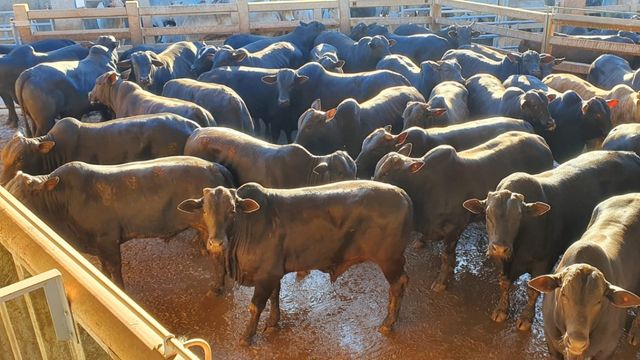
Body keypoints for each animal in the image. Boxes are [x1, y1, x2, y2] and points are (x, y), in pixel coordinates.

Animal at [178, 181, 412, 344]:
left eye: (232, 210)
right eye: (205, 210)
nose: (216, 243)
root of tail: (402, 193)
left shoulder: (266, 276)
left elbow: (255, 306)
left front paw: (247, 336)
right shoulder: (273, 273)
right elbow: (274, 297)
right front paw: (273, 323)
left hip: (389, 259)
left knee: (399, 284)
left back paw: (388, 323)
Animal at [376, 132, 556, 292]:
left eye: (386, 173)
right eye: (377, 171)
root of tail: (540, 140)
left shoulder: (454, 227)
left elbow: (446, 256)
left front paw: (441, 282)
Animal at [462, 150, 640, 332]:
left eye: (518, 216)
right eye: (487, 214)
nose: (499, 247)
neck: (516, 251)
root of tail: (630, 154)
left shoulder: (543, 261)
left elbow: (532, 290)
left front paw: (526, 318)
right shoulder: (501, 261)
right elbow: (504, 284)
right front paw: (501, 310)